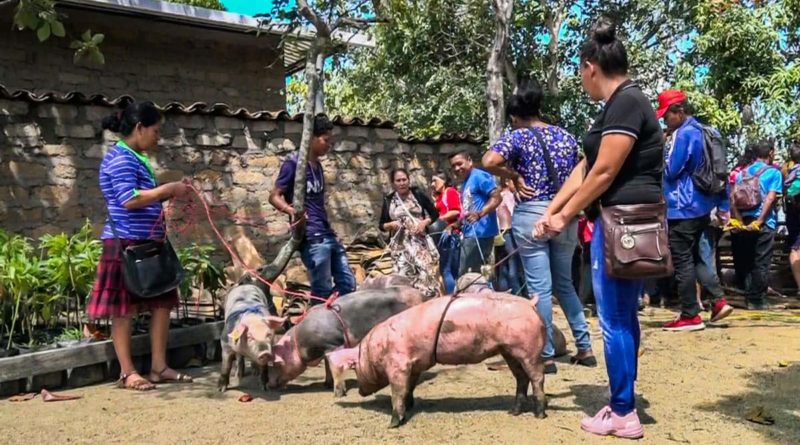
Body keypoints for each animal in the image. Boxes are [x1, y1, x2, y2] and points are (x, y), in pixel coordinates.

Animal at [268, 284, 424, 392]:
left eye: (277, 363)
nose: (268, 385)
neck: (298, 341)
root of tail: (421, 295)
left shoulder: (334, 343)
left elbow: (334, 366)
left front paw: (337, 392)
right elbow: (327, 366)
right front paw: (326, 384)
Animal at [328, 292, 548, 426]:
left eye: (355, 367)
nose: (361, 392)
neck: (377, 348)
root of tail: (530, 303)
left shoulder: (398, 365)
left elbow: (397, 391)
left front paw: (393, 424)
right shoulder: (415, 365)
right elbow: (409, 388)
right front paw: (410, 406)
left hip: (528, 349)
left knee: (537, 377)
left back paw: (540, 414)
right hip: (508, 351)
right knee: (521, 378)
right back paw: (514, 412)